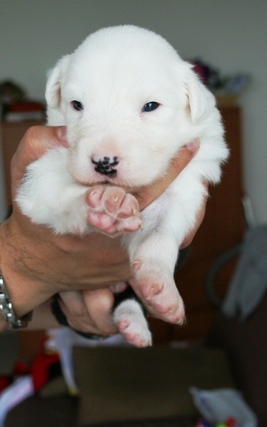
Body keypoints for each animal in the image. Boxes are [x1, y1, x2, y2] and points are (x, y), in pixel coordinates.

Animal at [16, 25, 229, 348]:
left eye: (150, 106)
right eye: (76, 105)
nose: (104, 162)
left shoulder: (185, 185)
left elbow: (162, 234)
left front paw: (159, 283)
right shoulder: (38, 176)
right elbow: (63, 194)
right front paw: (104, 205)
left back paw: (136, 319)